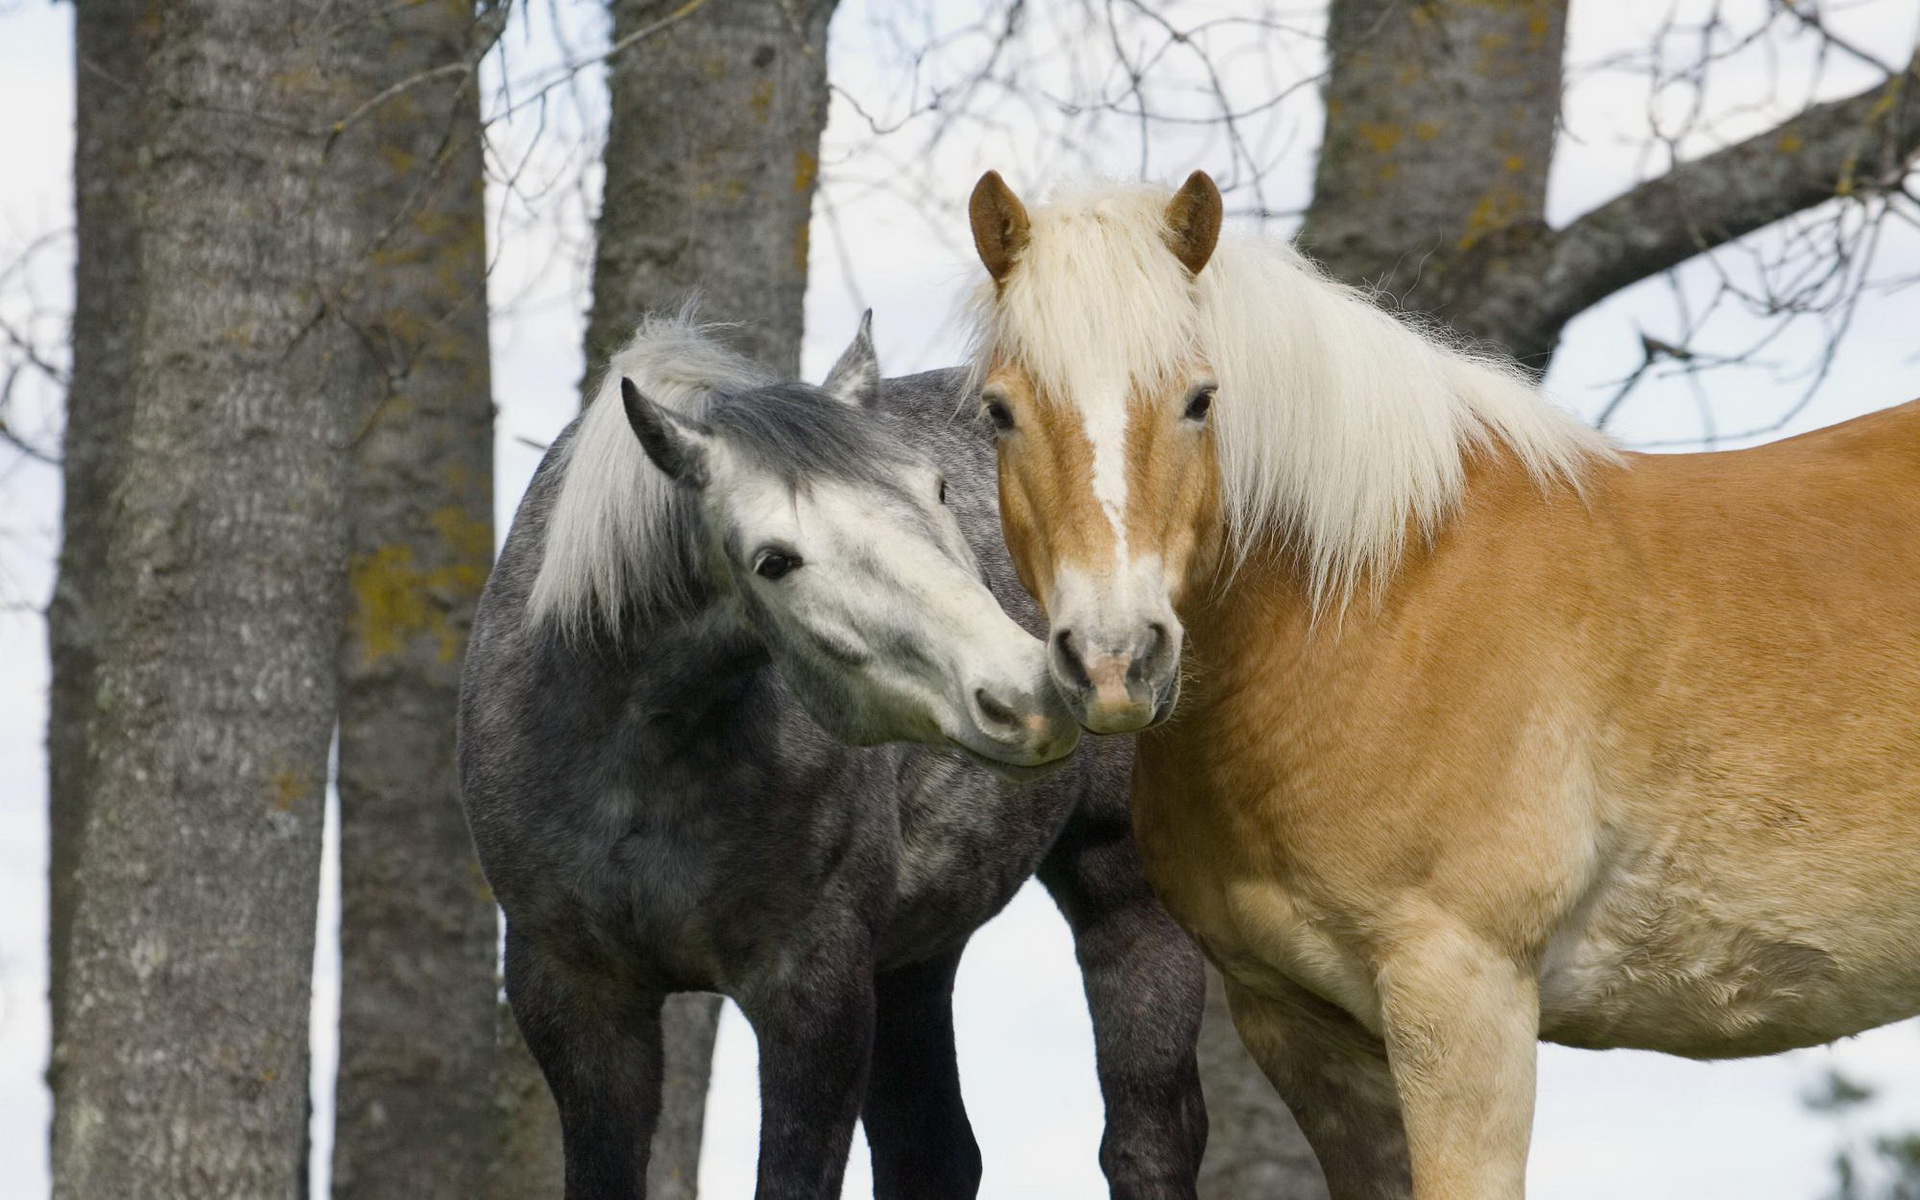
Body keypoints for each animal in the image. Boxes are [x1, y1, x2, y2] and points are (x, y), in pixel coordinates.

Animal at [456, 311, 1198, 1198]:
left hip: (1125, 895)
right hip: (915, 955)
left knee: (1146, 1142)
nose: (1029, 695)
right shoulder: (578, 1002)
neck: (639, 757)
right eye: (774, 561)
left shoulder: (813, 992)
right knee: (935, 1152)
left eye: (936, 491)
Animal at [967, 170, 1920, 1198]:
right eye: (1000, 412)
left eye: (1199, 399)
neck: (1380, 602)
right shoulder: (1302, 1029)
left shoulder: (1462, 996)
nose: (1114, 658)